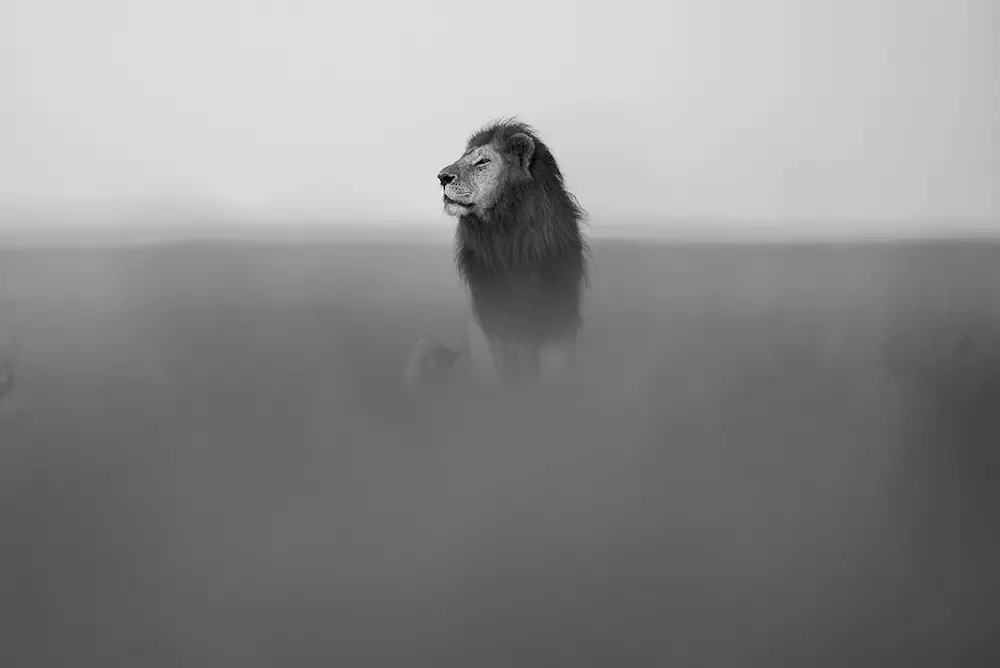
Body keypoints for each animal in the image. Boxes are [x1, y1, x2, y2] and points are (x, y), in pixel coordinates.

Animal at [405, 118, 589, 390]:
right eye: (463, 158)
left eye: (482, 161)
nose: (441, 177)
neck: (504, 235)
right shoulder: (485, 318)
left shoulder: (558, 316)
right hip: (426, 348)